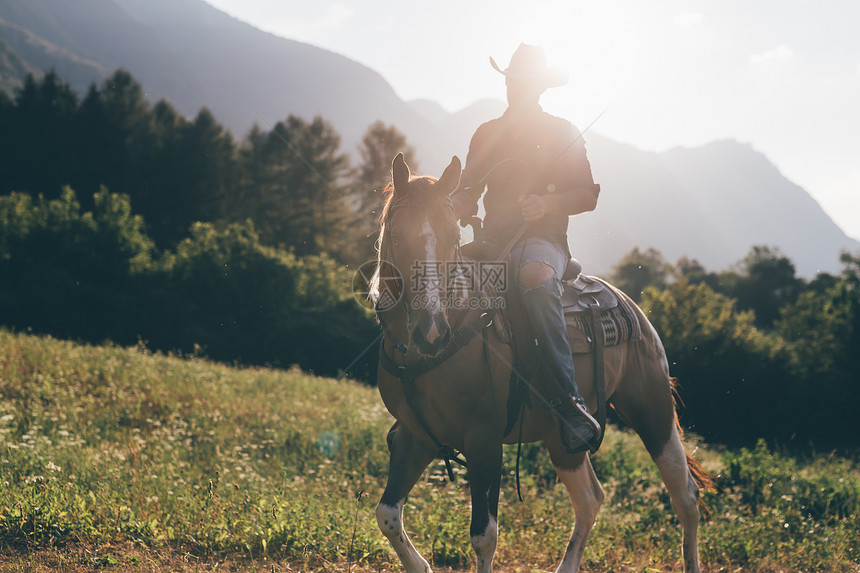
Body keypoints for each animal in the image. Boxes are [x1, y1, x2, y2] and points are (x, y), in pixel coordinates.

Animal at [372, 152, 708, 572]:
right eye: (398, 236)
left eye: (452, 238)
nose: (432, 331)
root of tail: (631, 307)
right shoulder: (415, 435)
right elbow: (387, 515)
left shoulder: (484, 441)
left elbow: (484, 536)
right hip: (562, 439)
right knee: (590, 499)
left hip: (653, 411)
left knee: (685, 497)